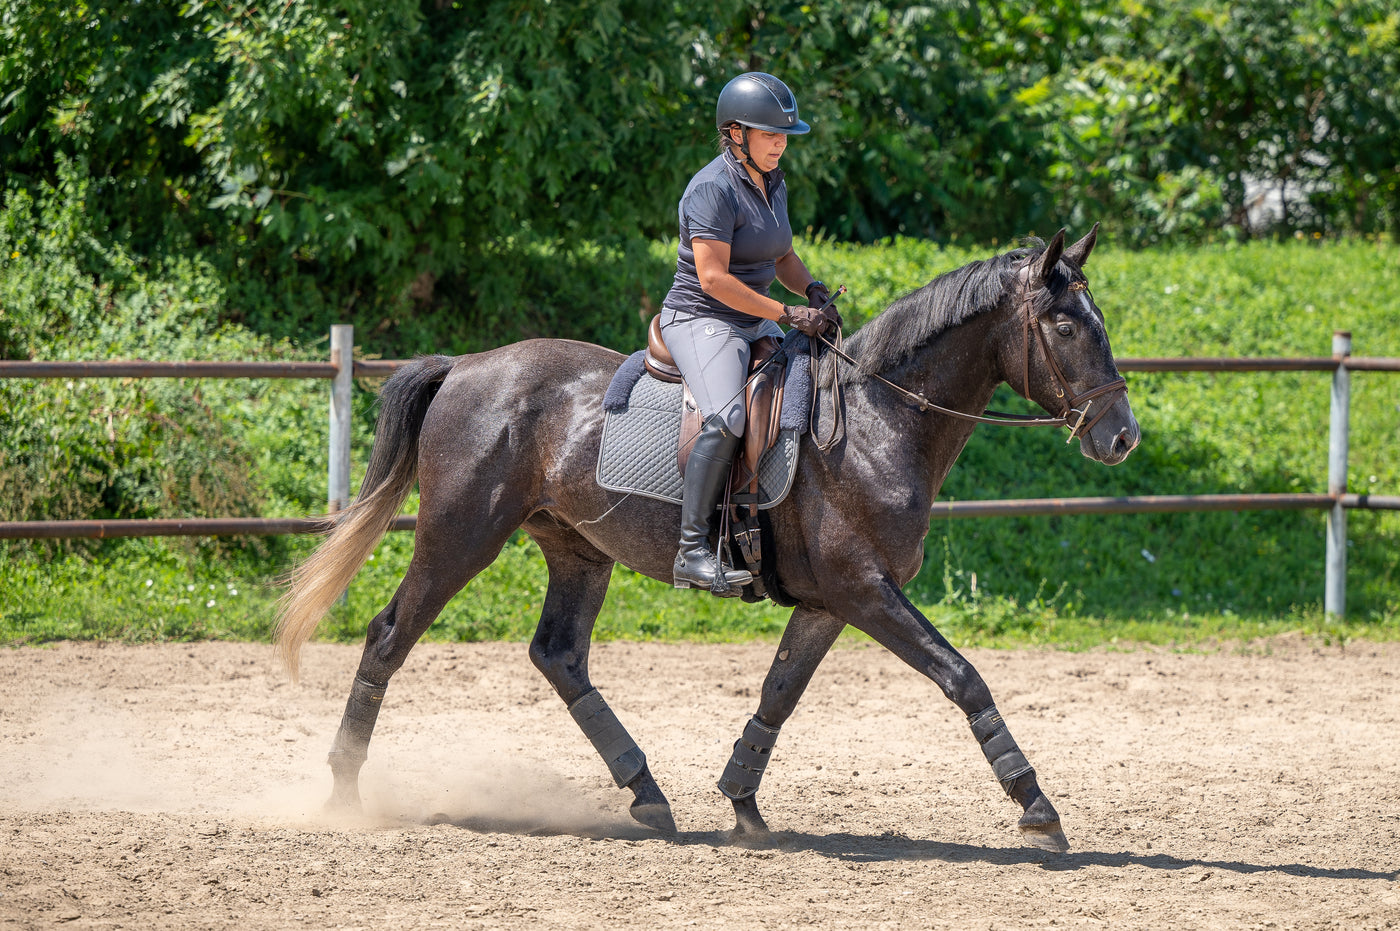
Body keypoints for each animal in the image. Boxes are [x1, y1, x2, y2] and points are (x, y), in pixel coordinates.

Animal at [273, 224, 1136, 851]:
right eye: (1065, 324)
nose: (1122, 435)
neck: (877, 420)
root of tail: (466, 366)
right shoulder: (866, 591)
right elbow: (965, 679)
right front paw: (1037, 805)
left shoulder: (830, 600)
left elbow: (778, 693)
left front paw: (742, 800)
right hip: (459, 537)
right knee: (389, 635)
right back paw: (344, 789)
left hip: (578, 550)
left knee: (559, 655)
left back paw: (647, 794)